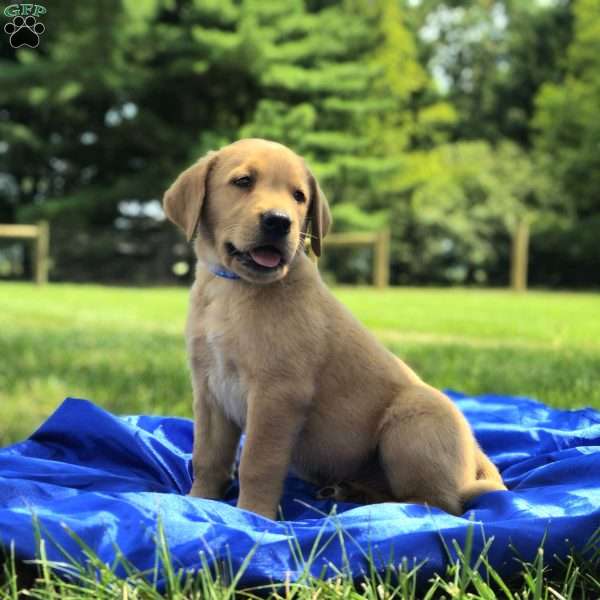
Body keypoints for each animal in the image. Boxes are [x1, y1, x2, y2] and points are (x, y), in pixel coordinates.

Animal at [162, 138, 504, 516]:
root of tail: (475, 454)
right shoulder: (209, 391)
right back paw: (349, 491)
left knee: (438, 503)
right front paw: (198, 502)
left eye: (299, 196)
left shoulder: (277, 393)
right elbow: (207, 456)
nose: (279, 221)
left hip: (413, 421)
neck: (233, 290)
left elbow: (257, 462)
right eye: (243, 182)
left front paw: (252, 515)